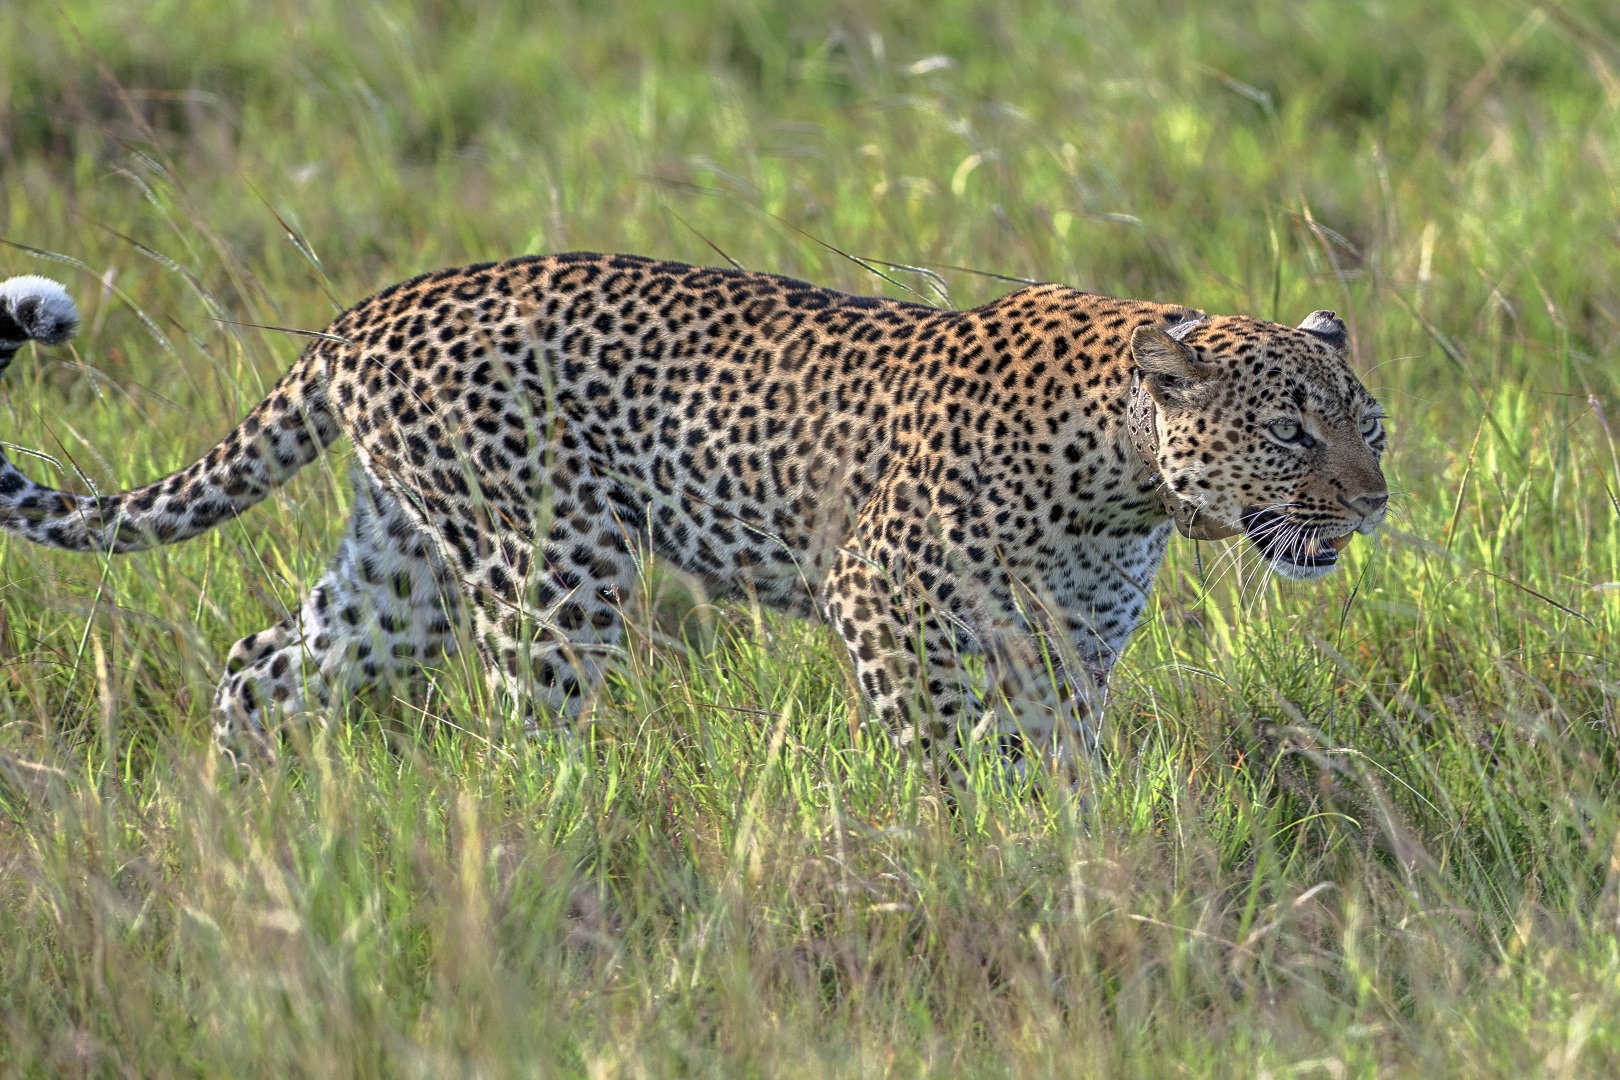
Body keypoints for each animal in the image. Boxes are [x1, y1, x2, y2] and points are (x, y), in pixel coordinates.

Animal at [3, 257, 1393, 773]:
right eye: (1291, 433)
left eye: (1367, 427)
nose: (1375, 501)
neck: (1124, 481)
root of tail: (367, 309)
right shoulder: (883, 603)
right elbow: (949, 755)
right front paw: (970, 850)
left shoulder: (1067, 649)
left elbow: (1065, 768)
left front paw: (1076, 869)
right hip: (549, 565)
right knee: (522, 728)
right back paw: (550, 839)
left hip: (403, 572)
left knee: (263, 664)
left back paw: (249, 817)